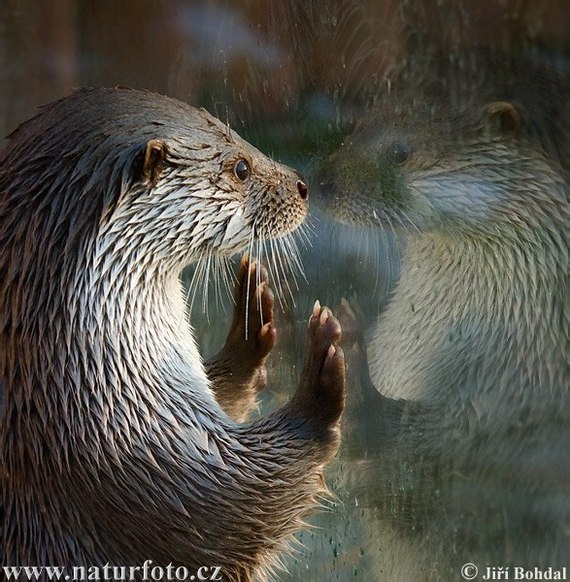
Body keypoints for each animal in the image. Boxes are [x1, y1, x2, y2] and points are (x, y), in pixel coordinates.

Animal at [0, 88, 342, 582]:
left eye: (241, 137)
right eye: (241, 167)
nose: (301, 184)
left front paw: (248, 324)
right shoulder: (131, 461)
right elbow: (238, 501)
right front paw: (319, 378)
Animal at [318, 52, 568, 580]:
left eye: (400, 153)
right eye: (358, 124)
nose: (322, 181)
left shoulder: (512, 418)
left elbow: (433, 476)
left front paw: (344, 368)